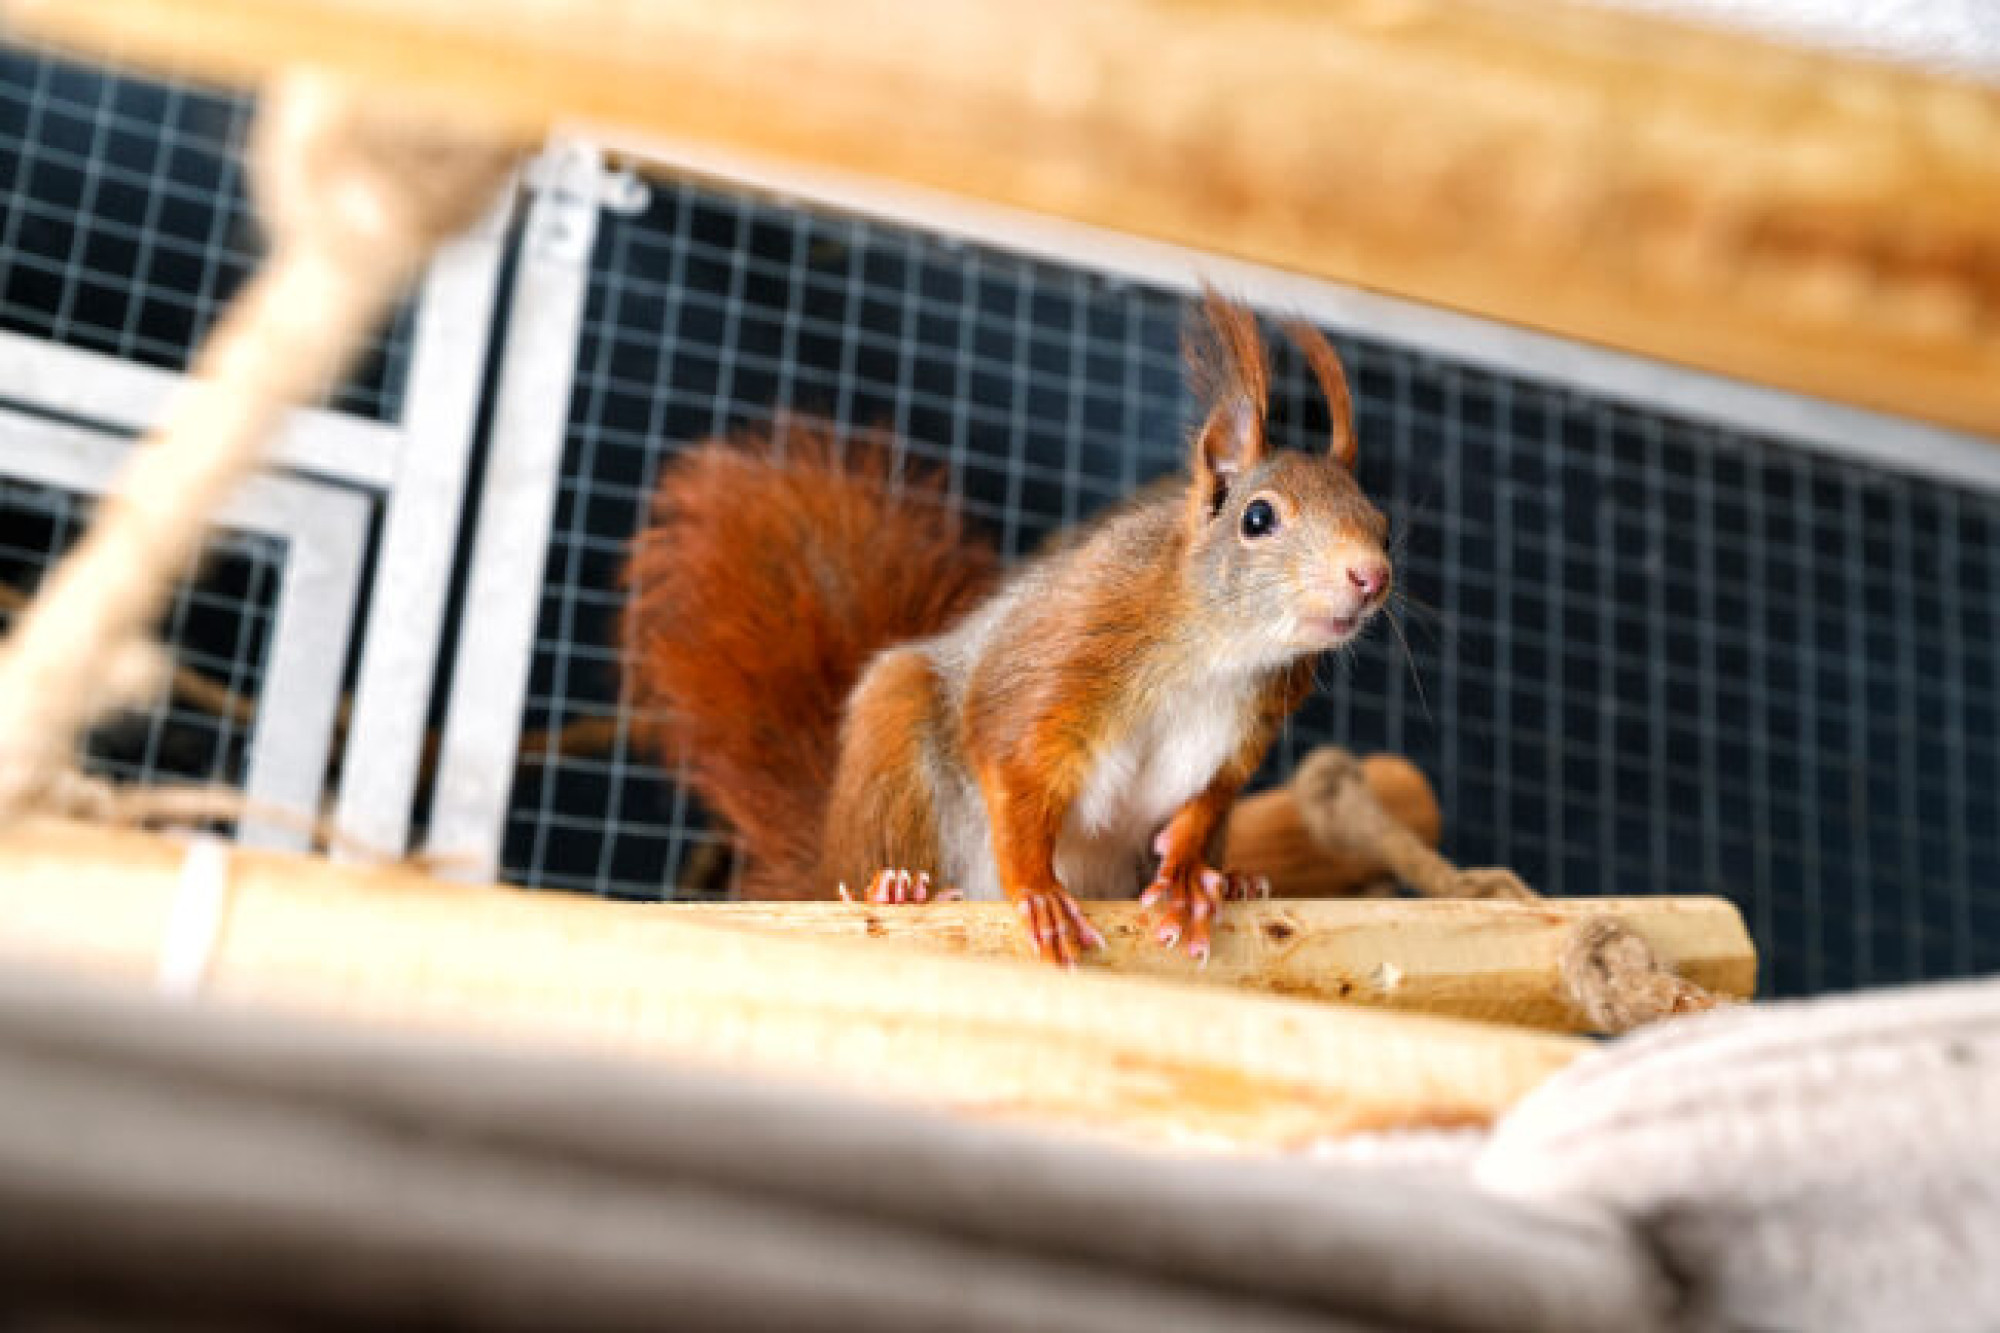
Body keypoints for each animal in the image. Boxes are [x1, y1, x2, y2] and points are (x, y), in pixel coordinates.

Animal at [622, 289, 1392, 966]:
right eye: (1257, 518)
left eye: (1383, 526)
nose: (1371, 576)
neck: (1219, 651)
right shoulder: (1070, 649)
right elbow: (1013, 760)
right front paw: (1038, 892)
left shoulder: (1251, 722)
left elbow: (1205, 802)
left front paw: (1184, 875)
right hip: (892, 748)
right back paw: (896, 887)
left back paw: (1232, 880)